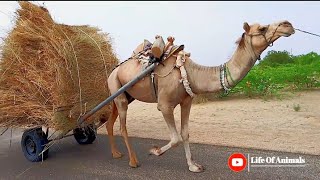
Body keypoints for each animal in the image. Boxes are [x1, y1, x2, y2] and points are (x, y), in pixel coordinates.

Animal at [105, 19, 296, 172]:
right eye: (262, 28)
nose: (288, 25)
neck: (190, 73)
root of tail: (112, 71)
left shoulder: (186, 101)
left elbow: (185, 134)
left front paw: (193, 166)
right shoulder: (164, 104)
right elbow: (175, 138)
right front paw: (155, 150)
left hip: (124, 95)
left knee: (109, 122)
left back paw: (116, 154)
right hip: (117, 89)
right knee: (122, 126)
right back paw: (133, 161)